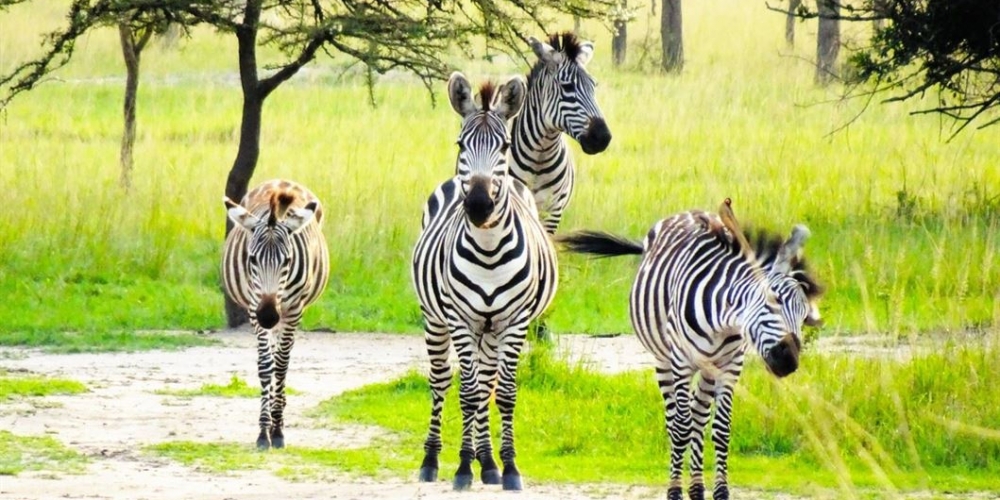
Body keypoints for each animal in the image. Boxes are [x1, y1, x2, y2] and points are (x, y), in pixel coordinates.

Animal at [221, 180, 330, 450]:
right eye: (252, 259)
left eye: (288, 260)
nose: (269, 317)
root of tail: (279, 181)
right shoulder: (253, 307)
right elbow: (265, 366)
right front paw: (263, 432)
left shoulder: (292, 311)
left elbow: (280, 367)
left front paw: (277, 430)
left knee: (283, 359)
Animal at [410, 72, 560, 490]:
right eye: (461, 144)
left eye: (505, 145)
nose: (478, 206)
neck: (490, 250)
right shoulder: (461, 319)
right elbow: (467, 392)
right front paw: (462, 468)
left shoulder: (515, 321)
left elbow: (503, 393)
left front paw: (507, 467)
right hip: (437, 318)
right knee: (442, 380)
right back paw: (433, 460)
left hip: (491, 330)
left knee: (488, 382)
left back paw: (488, 461)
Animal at [556, 199, 820, 500]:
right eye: (771, 301)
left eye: (805, 316)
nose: (788, 361)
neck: (724, 320)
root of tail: (686, 213)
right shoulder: (681, 363)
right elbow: (681, 428)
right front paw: (674, 491)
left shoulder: (730, 366)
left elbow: (720, 429)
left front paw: (721, 491)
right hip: (664, 360)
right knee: (675, 420)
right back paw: (681, 485)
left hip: (707, 369)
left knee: (698, 416)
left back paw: (696, 487)